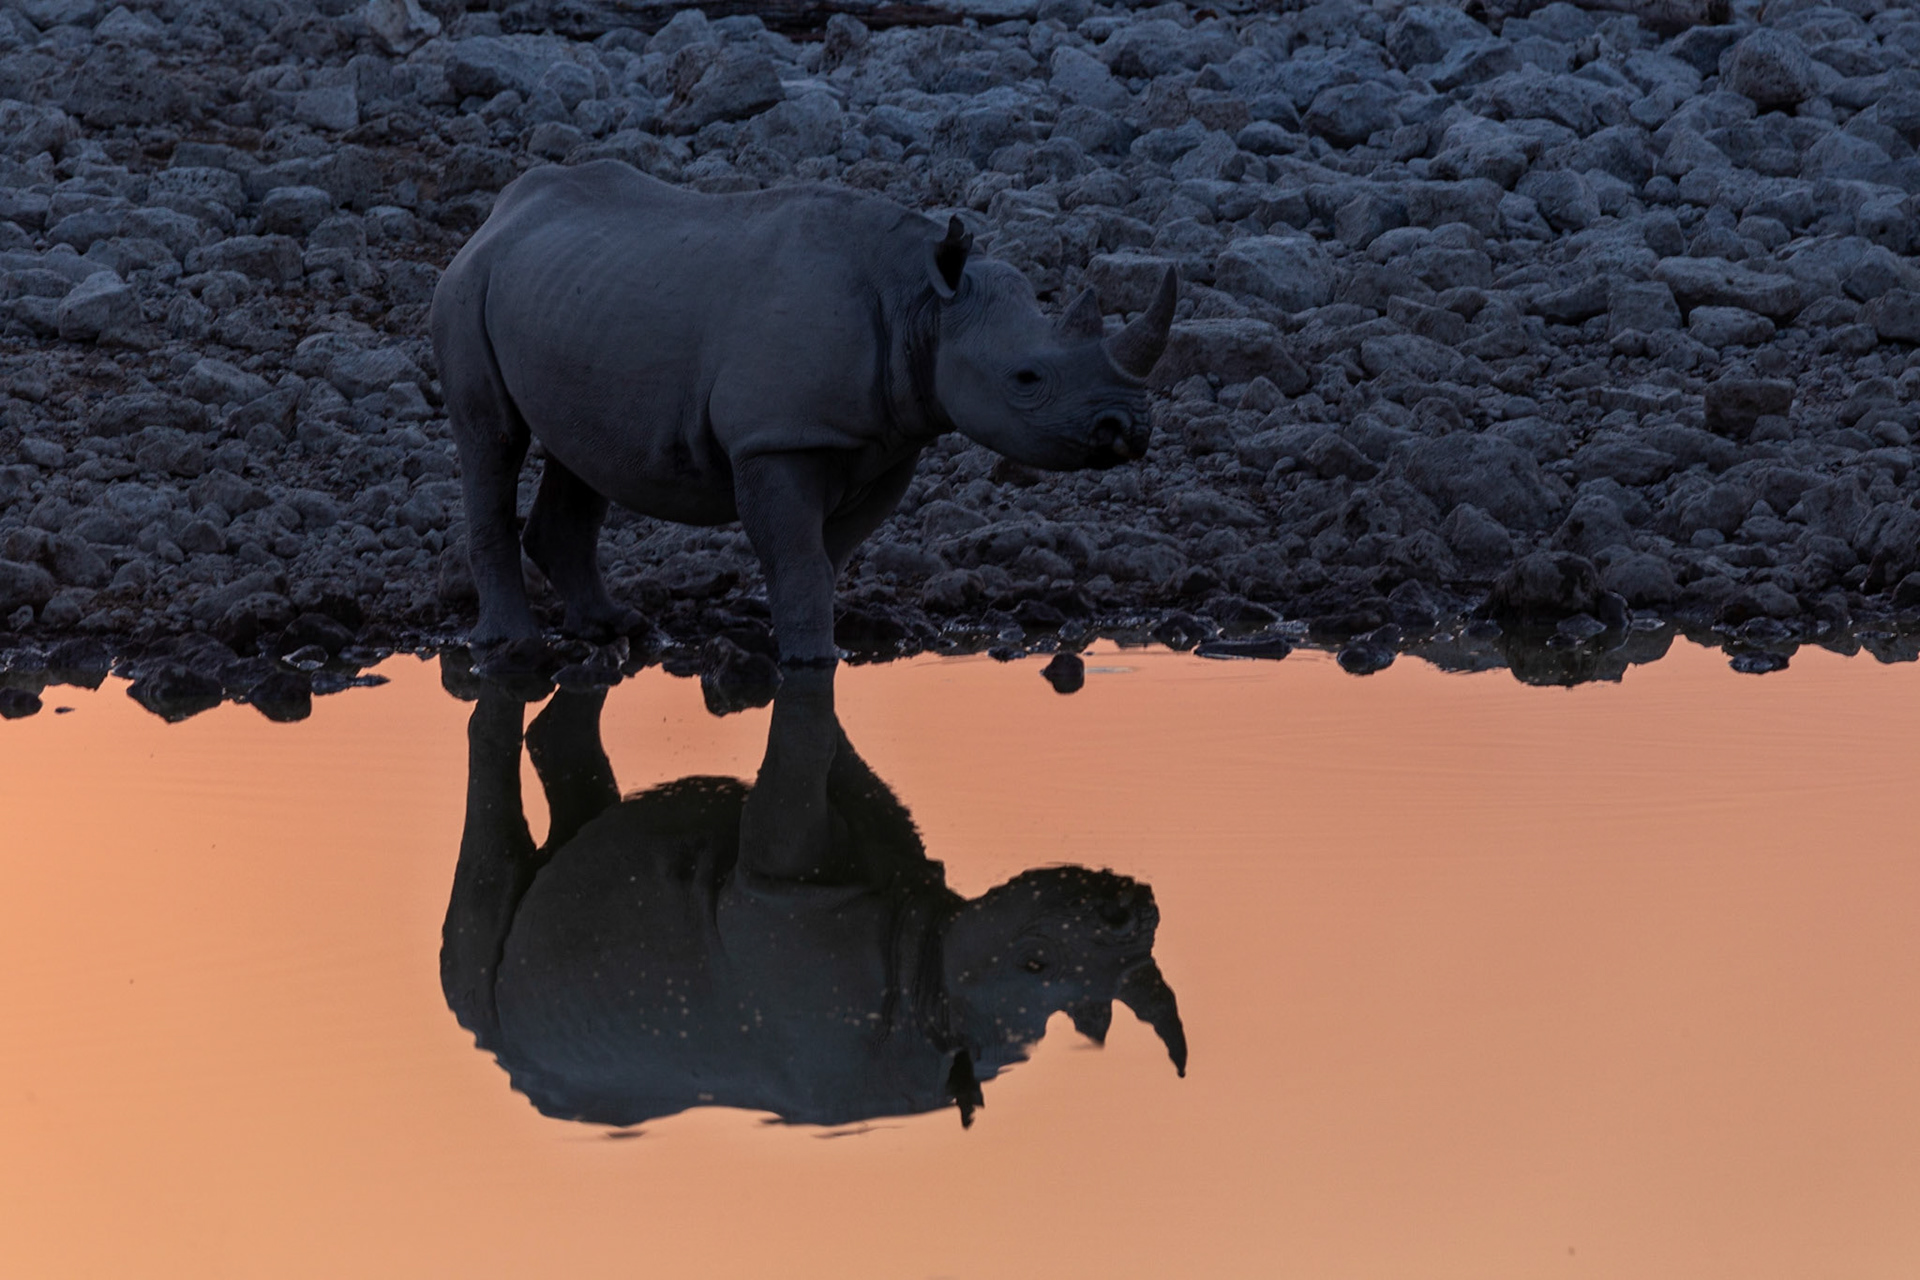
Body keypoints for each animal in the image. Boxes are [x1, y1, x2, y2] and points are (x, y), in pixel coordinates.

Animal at [430, 160, 1177, 665]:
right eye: (1026, 379)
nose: (1129, 430)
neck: (923, 301)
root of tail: (498, 215)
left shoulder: (888, 440)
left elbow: (825, 556)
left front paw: (817, 644)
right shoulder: (776, 438)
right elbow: (796, 553)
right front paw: (812, 661)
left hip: (571, 296)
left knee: (581, 450)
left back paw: (615, 628)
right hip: (467, 287)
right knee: (493, 437)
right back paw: (515, 647)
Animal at [440, 670, 1186, 1129]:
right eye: (1033, 961)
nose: (1132, 907)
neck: (930, 988)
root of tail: (508, 1067)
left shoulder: (885, 861)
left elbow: (837, 756)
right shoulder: (780, 879)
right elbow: (808, 757)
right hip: (490, 1020)